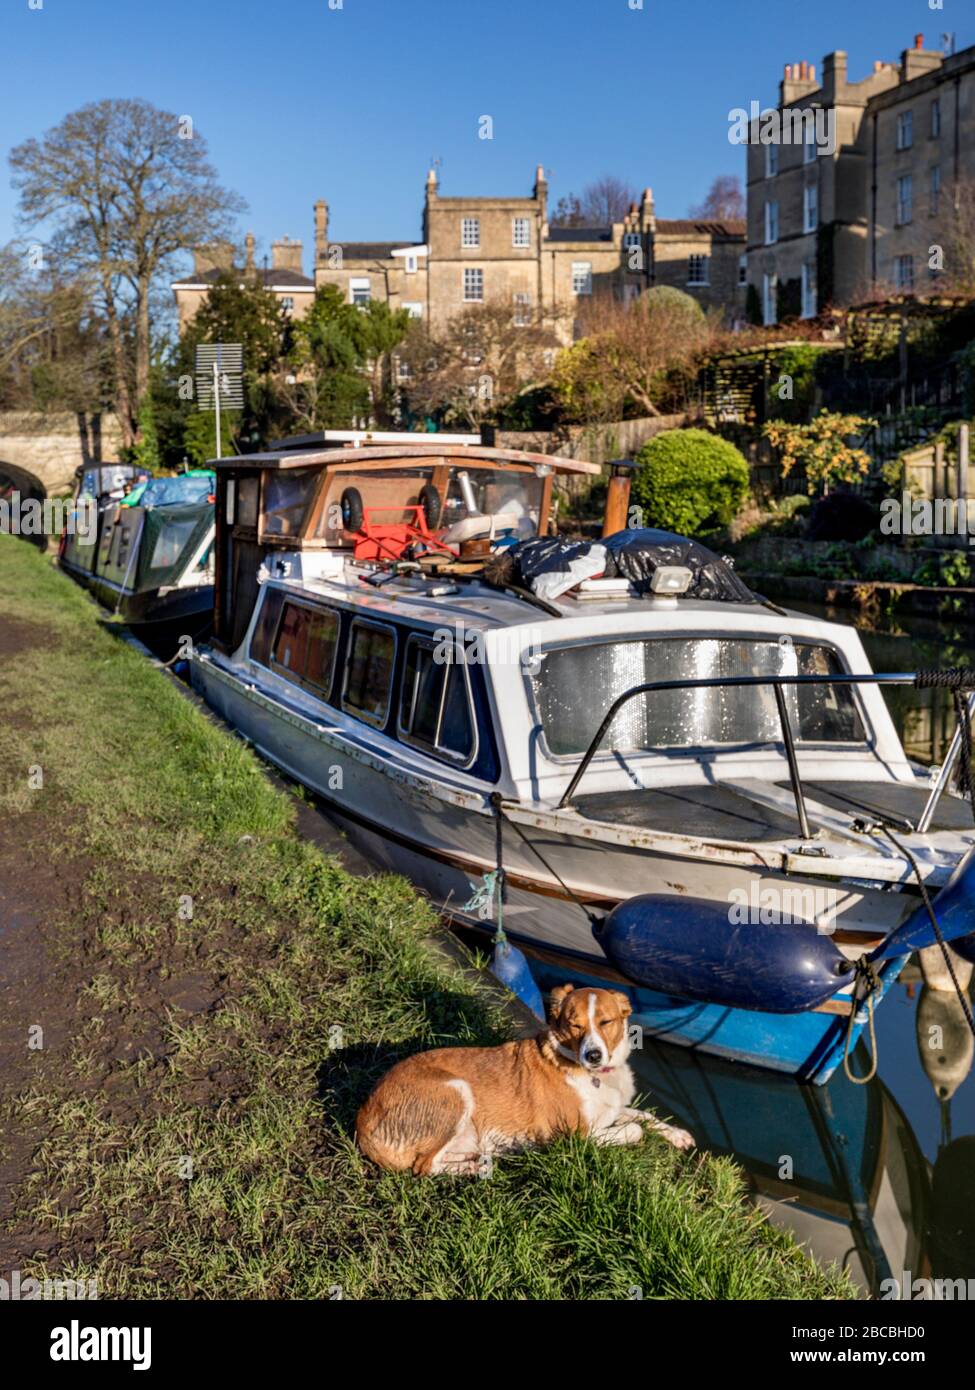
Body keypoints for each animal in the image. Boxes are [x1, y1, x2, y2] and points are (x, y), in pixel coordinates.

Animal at [356, 984, 692, 1178]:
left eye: (606, 1022)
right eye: (574, 1025)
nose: (593, 1055)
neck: (593, 1075)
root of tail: (363, 1118)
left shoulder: (611, 1110)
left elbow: (645, 1116)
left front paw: (677, 1135)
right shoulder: (577, 1137)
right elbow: (635, 1129)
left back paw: (478, 1158)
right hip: (456, 1092)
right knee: (423, 1168)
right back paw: (473, 1167)